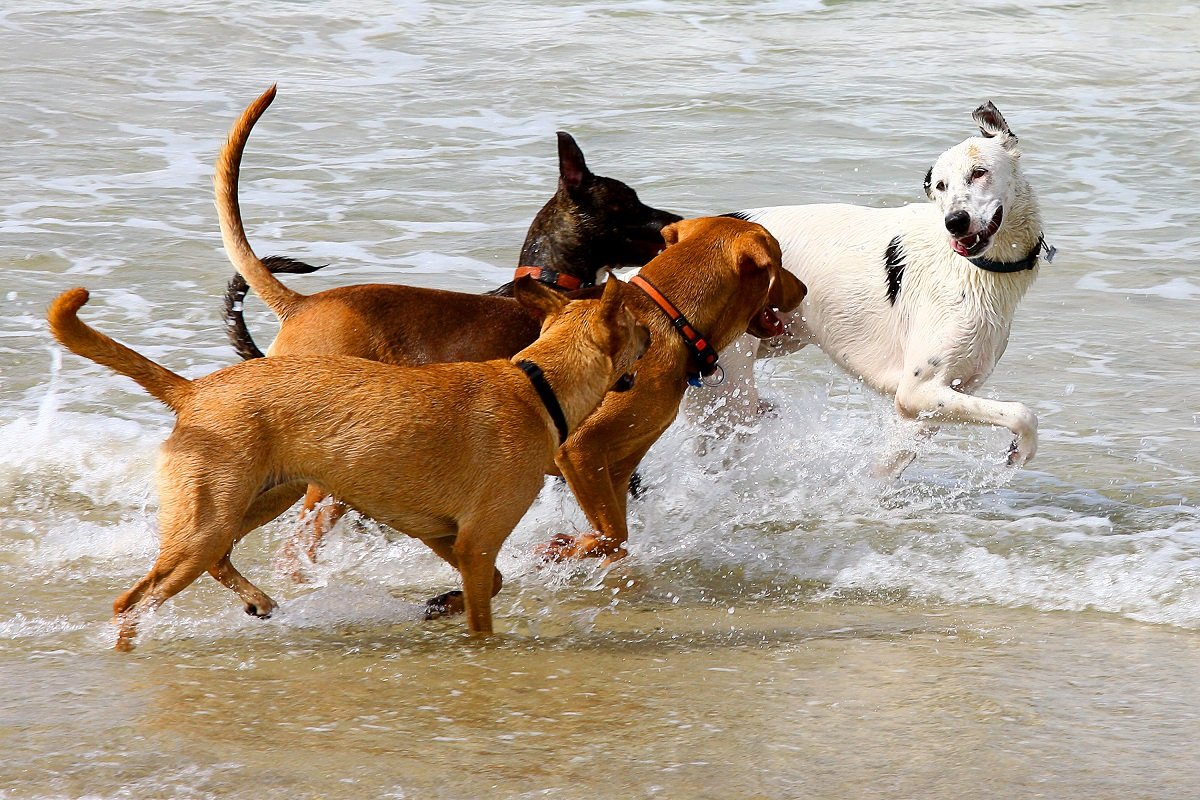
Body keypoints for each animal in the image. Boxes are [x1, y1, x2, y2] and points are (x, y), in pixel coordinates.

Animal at [691, 102, 1056, 472]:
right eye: (940, 186)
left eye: (979, 172)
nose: (955, 222)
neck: (972, 268)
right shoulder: (915, 392)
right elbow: (1023, 414)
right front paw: (1022, 450)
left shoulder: (941, 398)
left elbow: (887, 465)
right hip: (729, 393)